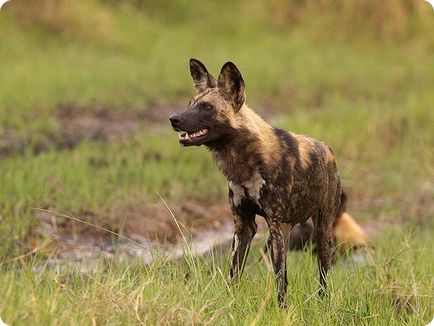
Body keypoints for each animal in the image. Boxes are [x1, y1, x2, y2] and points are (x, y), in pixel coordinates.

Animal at [170, 58, 342, 306]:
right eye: (190, 104)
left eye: (207, 107)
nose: (173, 119)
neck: (244, 162)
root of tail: (328, 150)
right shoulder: (243, 226)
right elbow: (234, 273)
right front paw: (230, 303)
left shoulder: (275, 225)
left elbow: (279, 278)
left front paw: (281, 309)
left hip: (321, 231)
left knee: (323, 273)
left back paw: (323, 301)